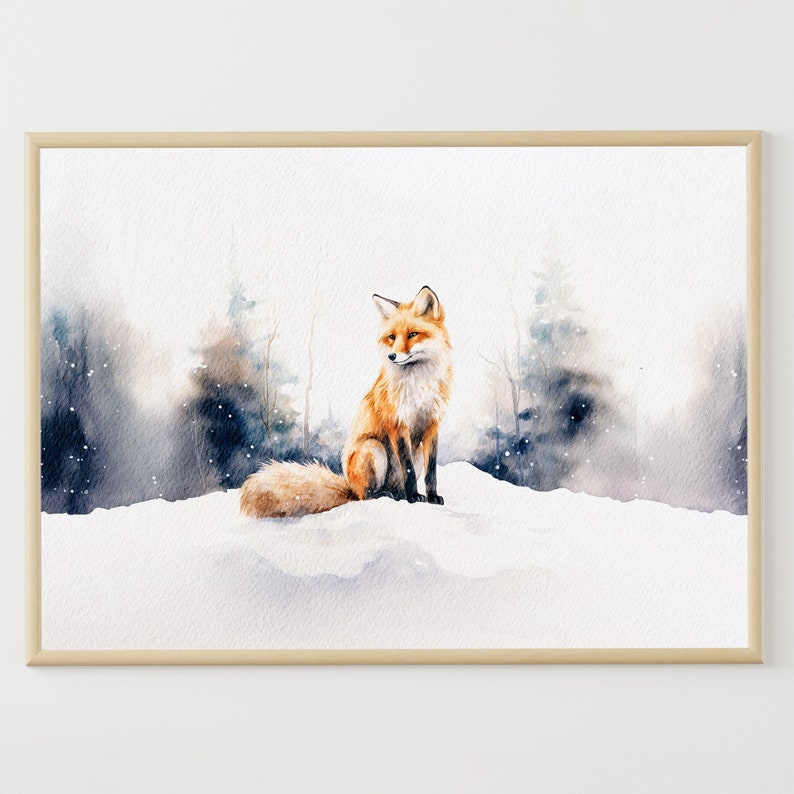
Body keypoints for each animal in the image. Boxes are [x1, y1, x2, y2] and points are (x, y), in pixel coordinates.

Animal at [240, 285, 453, 518]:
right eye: (391, 337)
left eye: (413, 334)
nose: (392, 356)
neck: (419, 384)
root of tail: (349, 487)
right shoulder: (397, 424)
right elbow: (409, 471)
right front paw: (414, 497)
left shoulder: (432, 424)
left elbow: (431, 473)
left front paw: (432, 498)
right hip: (373, 447)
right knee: (366, 495)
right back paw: (387, 495)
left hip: (414, 453)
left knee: (395, 490)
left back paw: (399, 496)